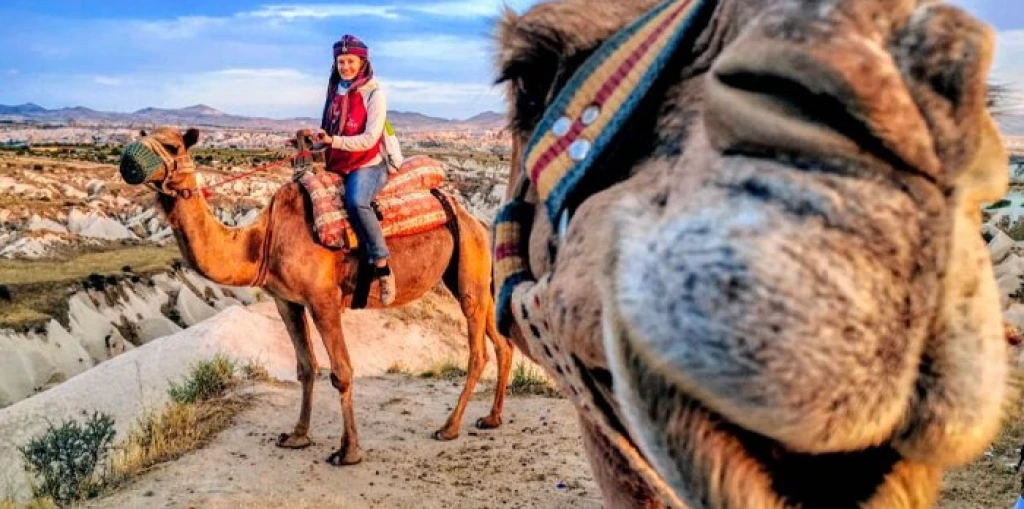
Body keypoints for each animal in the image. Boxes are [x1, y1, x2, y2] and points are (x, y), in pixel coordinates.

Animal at [118, 126, 513, 466]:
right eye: (142, 135)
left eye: (173, 146)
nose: (128, 161)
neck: (262, 240)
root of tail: (478, 221)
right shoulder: (287, 300)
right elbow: (306, 368)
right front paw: (297, 436)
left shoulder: (323, 301)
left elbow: (342, 372)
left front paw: (348, 451)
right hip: (468, 276)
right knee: (502, 342)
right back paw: (491, 418)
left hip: (470, 268)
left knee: (478, 351)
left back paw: (449, 427)